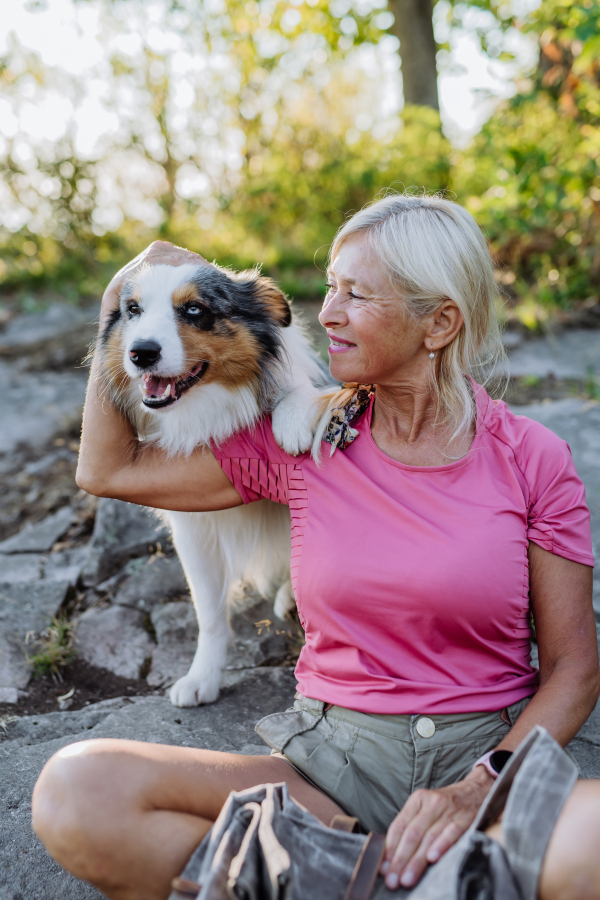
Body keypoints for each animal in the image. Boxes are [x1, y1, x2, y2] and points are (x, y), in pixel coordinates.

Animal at [96, 258, 330, 704]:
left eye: (194, 310)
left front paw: (292, 417)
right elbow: (209, 614)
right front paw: (202, 677)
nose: (141, 353)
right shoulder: (194, 531)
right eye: (133, 310)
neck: (208, 409)